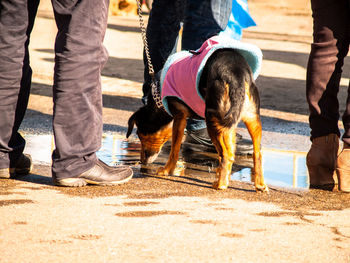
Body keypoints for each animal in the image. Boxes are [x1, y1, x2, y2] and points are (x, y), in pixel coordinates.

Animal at [128, 36, 268, 193]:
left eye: (140, 136)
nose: (142, 162)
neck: (159, 100)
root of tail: (236, 72)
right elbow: (231, 150)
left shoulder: (179, 117)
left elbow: (175, 149)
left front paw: (167, 170)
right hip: (250, 118)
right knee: (255, 153)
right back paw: (259, 185)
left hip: (213, 119)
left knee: (226, 154)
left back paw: (220, 185)